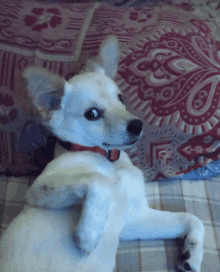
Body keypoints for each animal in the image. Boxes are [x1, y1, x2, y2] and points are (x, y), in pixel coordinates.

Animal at [0, 36, 205, 272]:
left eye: (121, 98)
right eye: (92, 114)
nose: (138, 125)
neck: (109, 159)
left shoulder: (134, 220)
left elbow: (192, 219)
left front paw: (191, 255)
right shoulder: (37, 191)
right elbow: (99, 181)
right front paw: (88, 234)